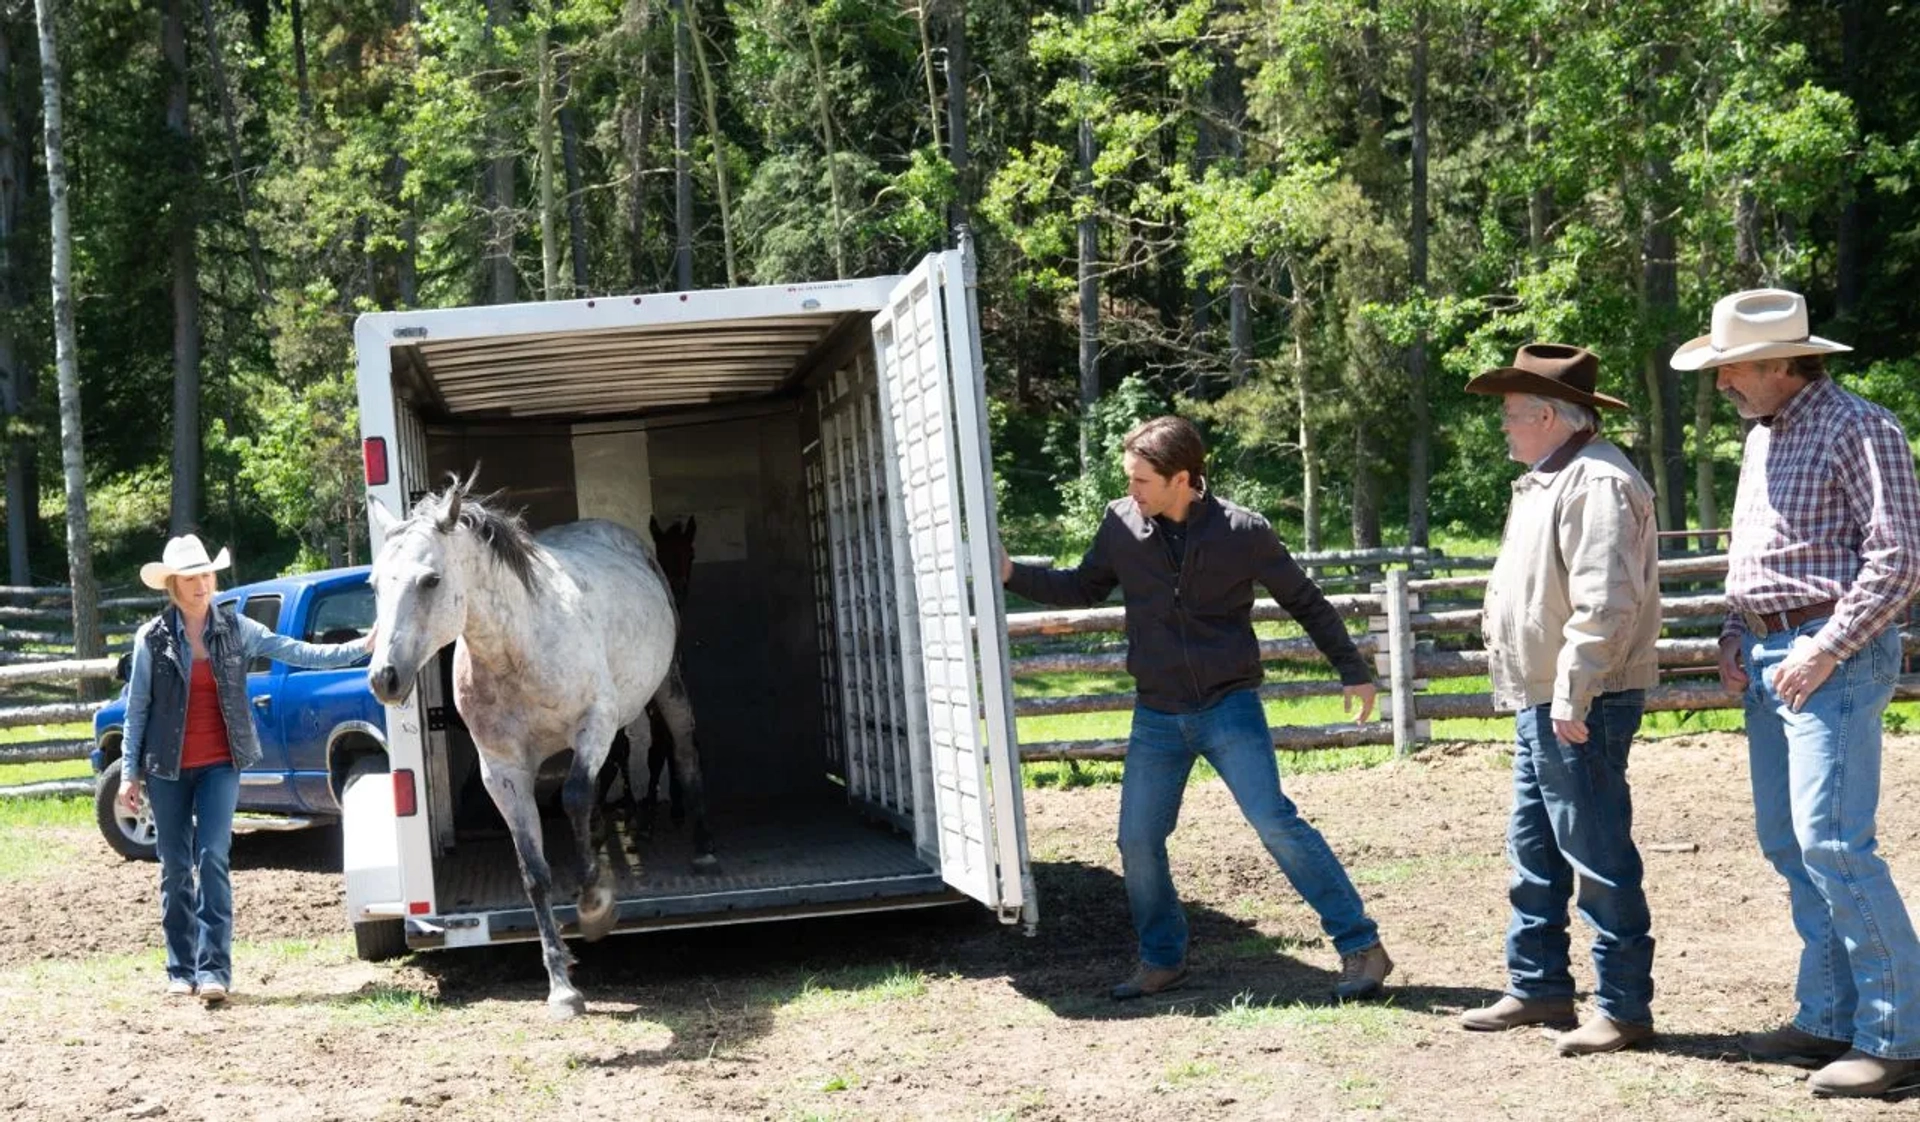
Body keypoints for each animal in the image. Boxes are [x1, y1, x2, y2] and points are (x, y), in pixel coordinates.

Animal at [364, 470, 714, 1014]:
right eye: (375, 584)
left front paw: (595, 905)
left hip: (667, 687)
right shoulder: (503, 772)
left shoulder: (596, 725)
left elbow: (575, 797)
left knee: (680, 748)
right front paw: (562, 984)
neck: (517, 649)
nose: (385, 678)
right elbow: (534, 871)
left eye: (431, 580)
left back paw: (700, 846)